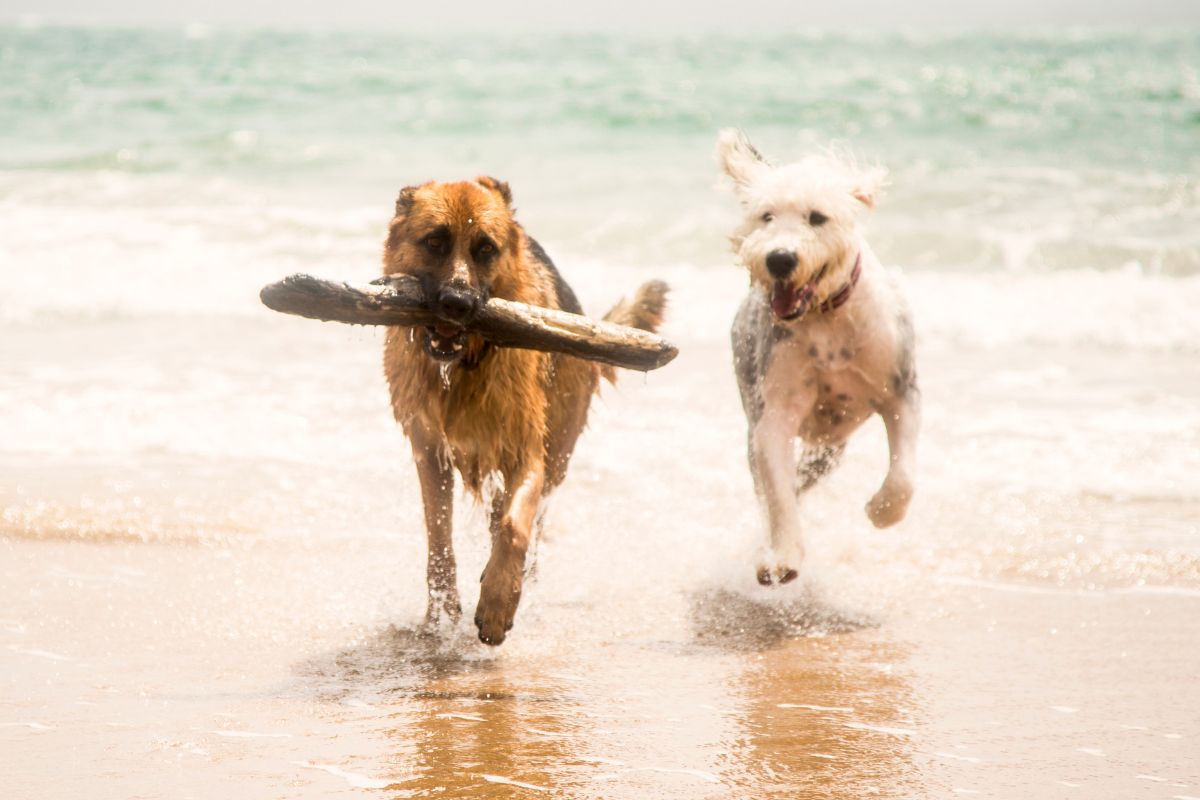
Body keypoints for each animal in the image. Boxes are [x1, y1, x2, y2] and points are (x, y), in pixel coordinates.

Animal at [381, 175, 667, 642]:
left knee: (523, 523)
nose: (457, 303)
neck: (464, 367)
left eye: (485, 249)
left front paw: (499, 603)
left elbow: (515, 528)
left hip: (557, 454)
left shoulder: (527, 454)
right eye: (435, 242)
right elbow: (439, 538)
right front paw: (441, 614)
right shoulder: (430, 454)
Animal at [715, 128, 921, 585]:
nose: (779, 258)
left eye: (817, 217)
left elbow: (904, 474)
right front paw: (783, 556)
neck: (826, 318)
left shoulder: (901, 390)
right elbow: (777, 493)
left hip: (830, 449)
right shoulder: (773, 416)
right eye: (767, 216)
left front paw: (881, 511)